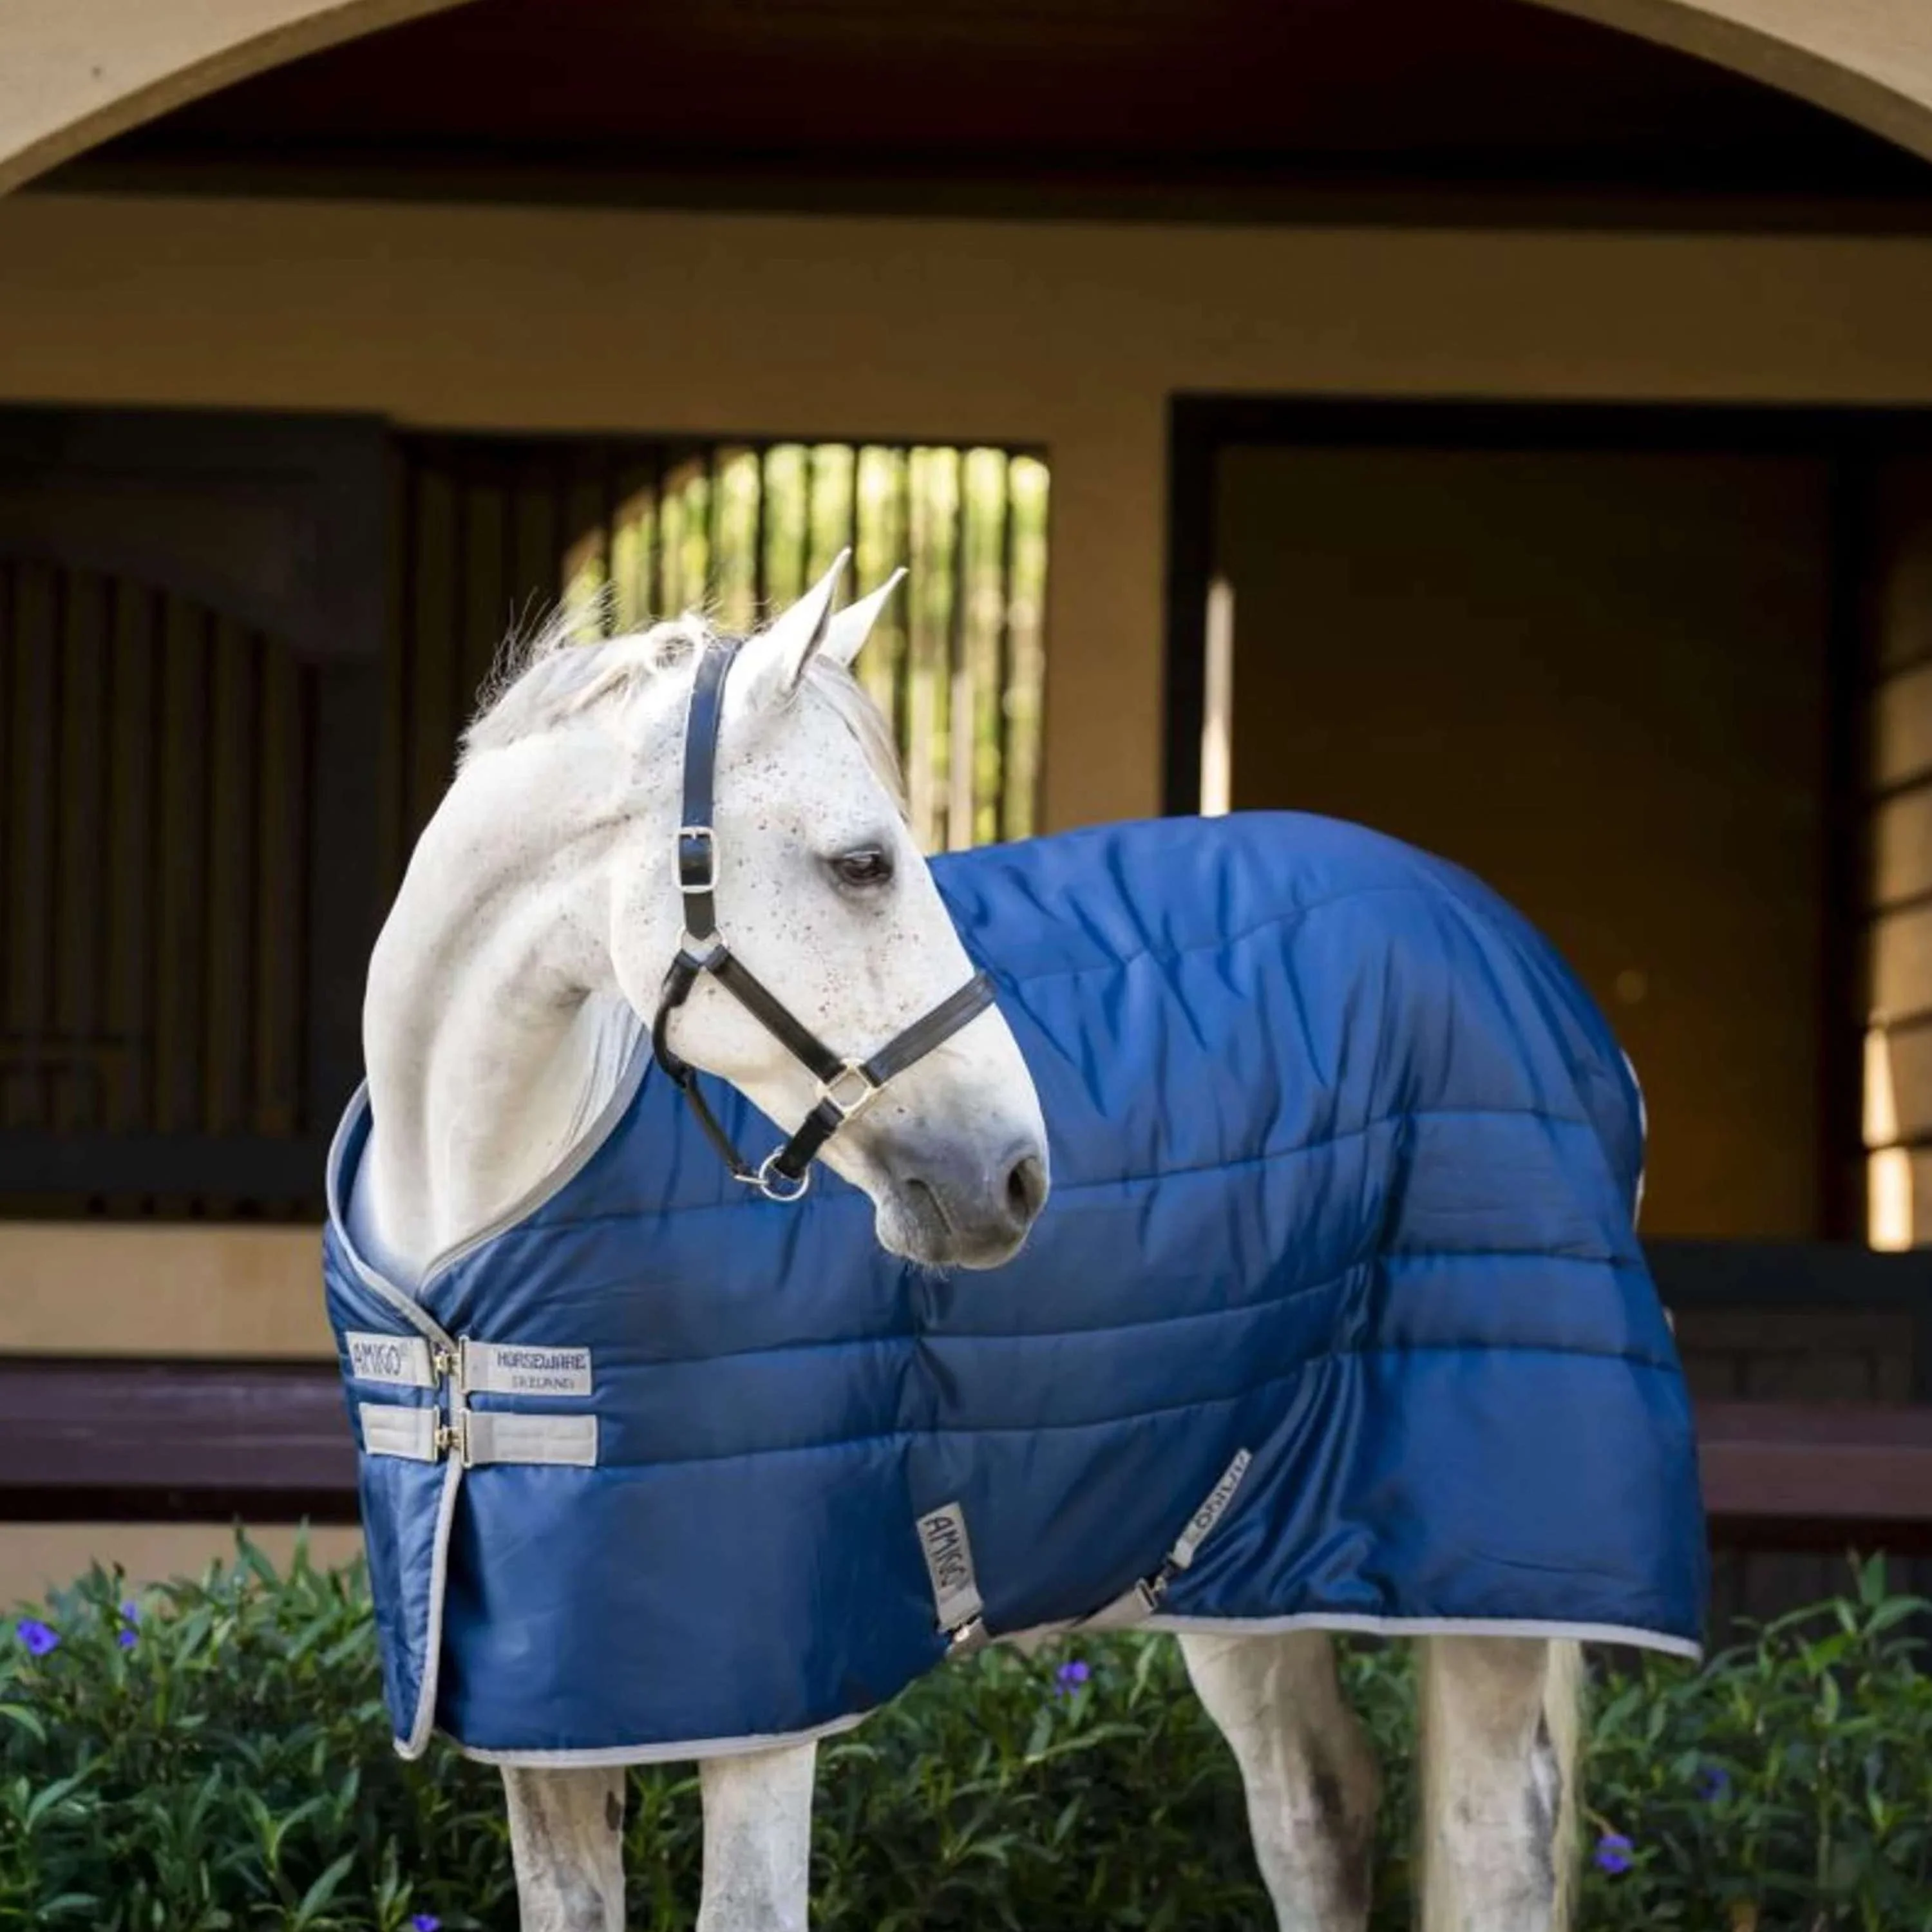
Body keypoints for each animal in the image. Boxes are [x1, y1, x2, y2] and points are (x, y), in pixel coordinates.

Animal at [333, 555, 1699, 1932]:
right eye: (864, 862)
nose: (1015, 1176)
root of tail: (1536, 973)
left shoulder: (767, 1705)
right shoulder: (551, 1719)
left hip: (1489, 1580)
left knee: (1493, 1843)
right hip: (1243, 1553)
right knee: (1318, 1811)